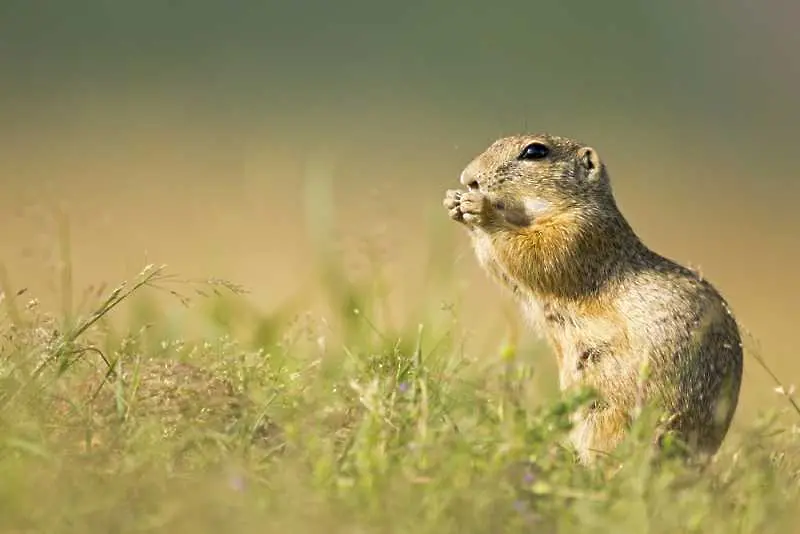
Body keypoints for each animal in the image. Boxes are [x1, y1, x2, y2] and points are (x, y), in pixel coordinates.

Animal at [444, 134, 744, 464]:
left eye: (534, 152)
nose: (468, 179)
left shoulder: (580, 231)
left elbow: (536, 251)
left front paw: (481, 210)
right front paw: (453, 203)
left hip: (612, 416)